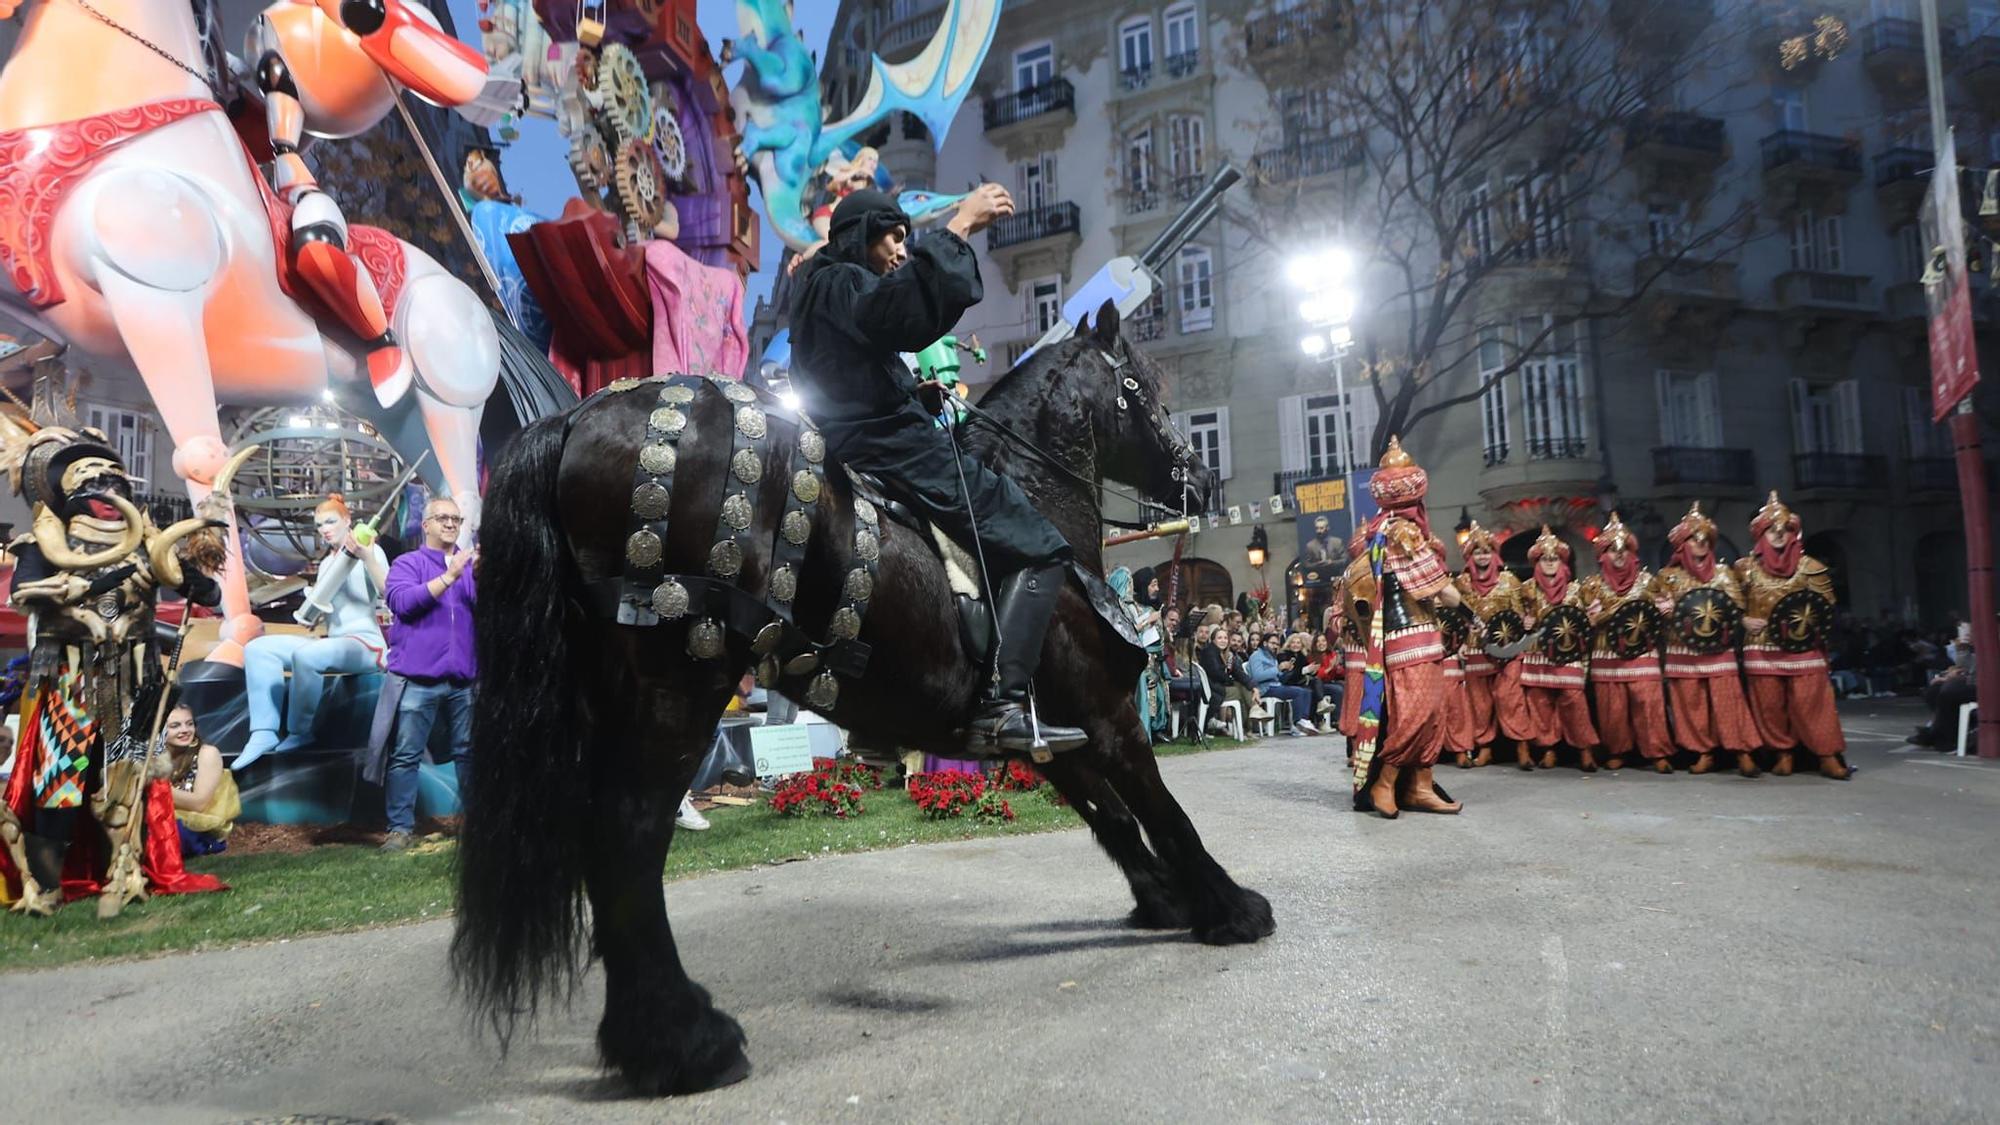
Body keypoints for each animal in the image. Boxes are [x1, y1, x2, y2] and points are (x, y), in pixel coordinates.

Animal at [454, 302, 1272, 1088]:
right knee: (627, 837)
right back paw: (683, 1043)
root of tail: (577, 421)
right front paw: (1229, 906)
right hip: (678, 688)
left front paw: (1164, 898)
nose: (1201, 479)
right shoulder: (1107, 716)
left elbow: (1115, 819)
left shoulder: (1054, 734)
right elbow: (1165, 811)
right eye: (1141, 387)